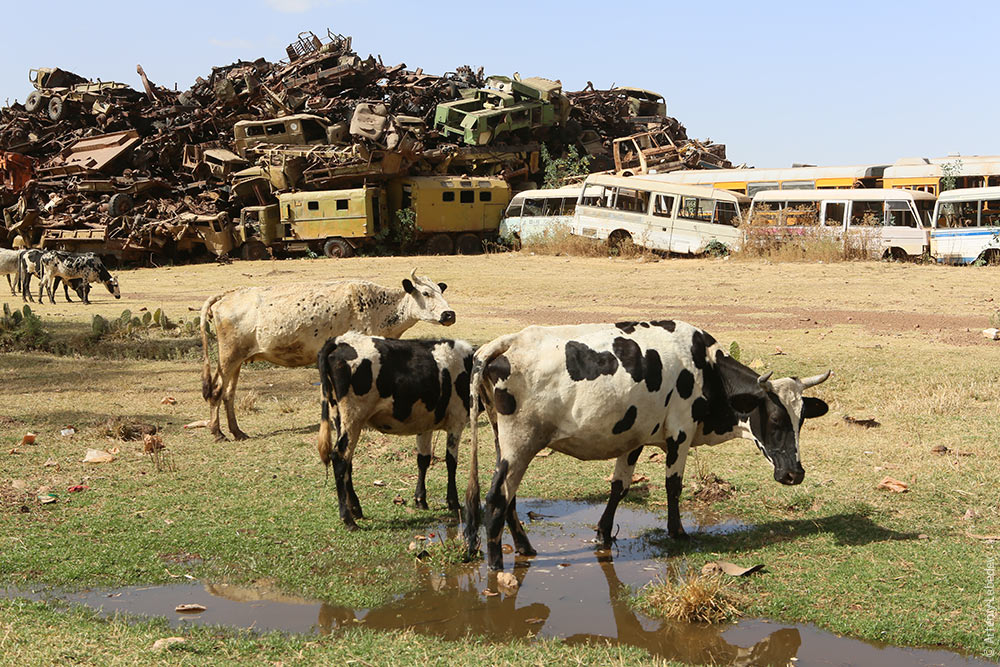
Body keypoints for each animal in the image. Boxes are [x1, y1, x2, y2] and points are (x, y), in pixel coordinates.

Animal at [200, 268, 458, 440]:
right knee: (216, 391)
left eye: (440, 291)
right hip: (228, 357)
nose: (449, 314)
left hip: (238, 360)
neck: (378, 306)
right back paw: (218, 432)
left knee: (228, 394)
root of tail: (228, 295)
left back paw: (237, 432)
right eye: (425, 293)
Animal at [318, 332, 478, 528]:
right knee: (340, 458)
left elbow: (423, 460)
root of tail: (341, 340)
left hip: (339, 417)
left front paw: (420, 500)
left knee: (348, 461)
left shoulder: (425, 424)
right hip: (353, 416)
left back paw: (356, 509)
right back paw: (348, 519)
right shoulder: (457, 421)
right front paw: (453, 502)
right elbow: (451, 462)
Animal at [460, 320, 828, 572]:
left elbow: (619, 487)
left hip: (504, 442)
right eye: (777, 420)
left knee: (508, 497)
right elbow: (673, 486)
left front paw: (603, 534)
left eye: (802, 420)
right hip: (519, 444)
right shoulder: (680, 433)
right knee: (496, 499)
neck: (705, 366)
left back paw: (525, 547)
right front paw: (677, 532)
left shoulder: (632, 437)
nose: (794, 474)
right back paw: (496, 565)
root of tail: (508, 342)